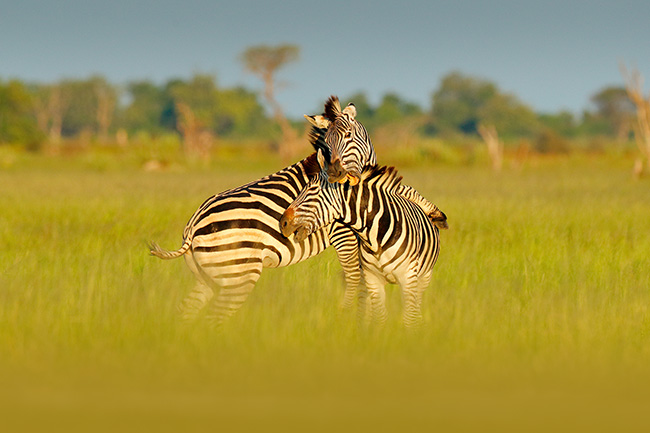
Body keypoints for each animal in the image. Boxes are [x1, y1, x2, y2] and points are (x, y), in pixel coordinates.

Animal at [280, 150, 448, 327]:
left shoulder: (407, 278)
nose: (282, 222)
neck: (376, 238)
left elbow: (410, 318)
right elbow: (380, 317)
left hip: (423, 278)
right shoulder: (372, 279)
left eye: (313, 190)